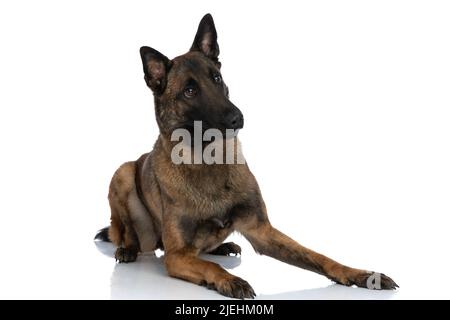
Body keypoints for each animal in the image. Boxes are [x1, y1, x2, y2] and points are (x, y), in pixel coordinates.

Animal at [96, 12, 398, 298]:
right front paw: (230, 280)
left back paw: (222, 245)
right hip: (123, 173)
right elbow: (209, 266)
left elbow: (317, 256)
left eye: (216, 78)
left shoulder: (262, 232)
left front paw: (359, 274)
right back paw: (127, 249)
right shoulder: (177, 255)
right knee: (124, 231)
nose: (237, 118)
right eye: (190, 91)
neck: (209, 161)